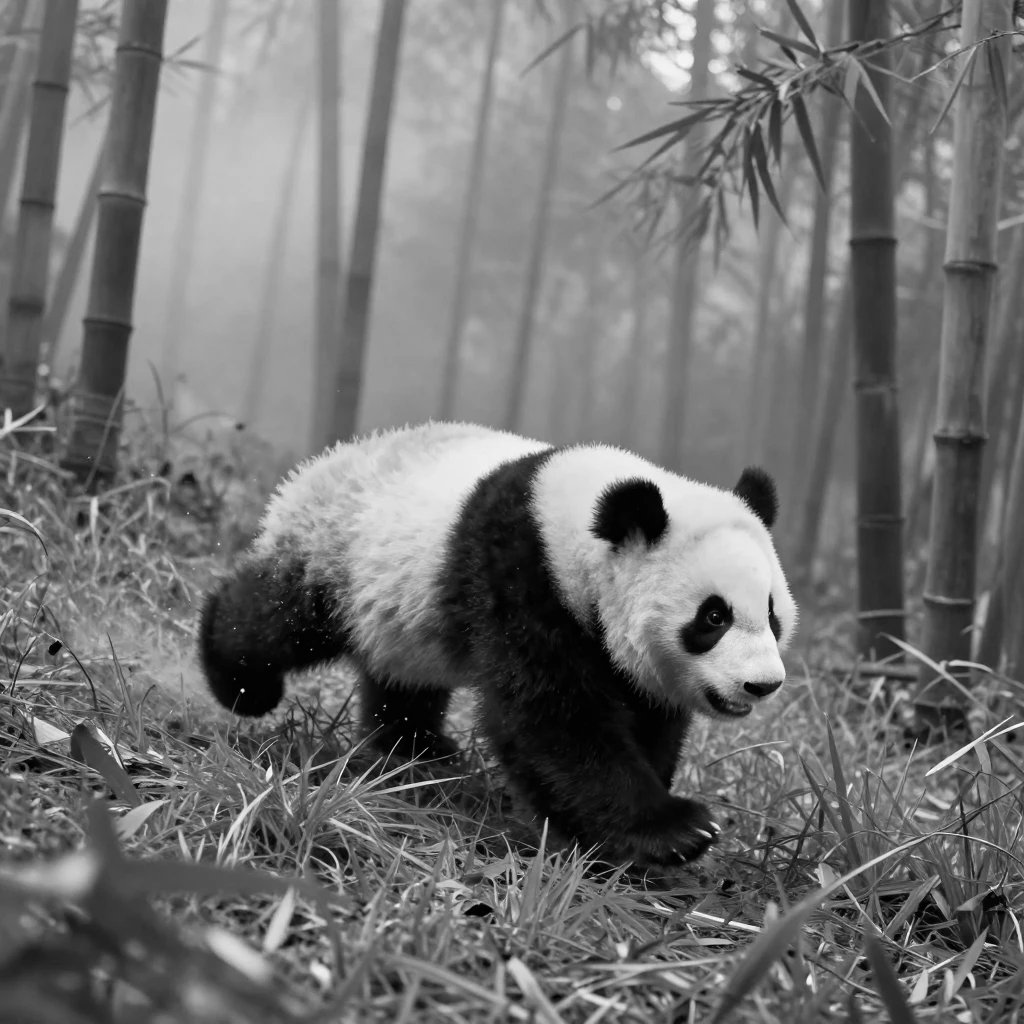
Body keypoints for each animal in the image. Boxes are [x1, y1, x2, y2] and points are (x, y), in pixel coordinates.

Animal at [198, 421, 797, 867]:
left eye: (771, 614)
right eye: (713, 616)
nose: (763, 685)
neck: (571, 522)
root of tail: (326, 460)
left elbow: (648, 714)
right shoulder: (517, 576)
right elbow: (550, 718)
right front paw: (674, 831)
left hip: (401, 612)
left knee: (403, 675)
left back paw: (416, 750)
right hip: (335, 554)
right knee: (277, 619)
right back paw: (240, 682)